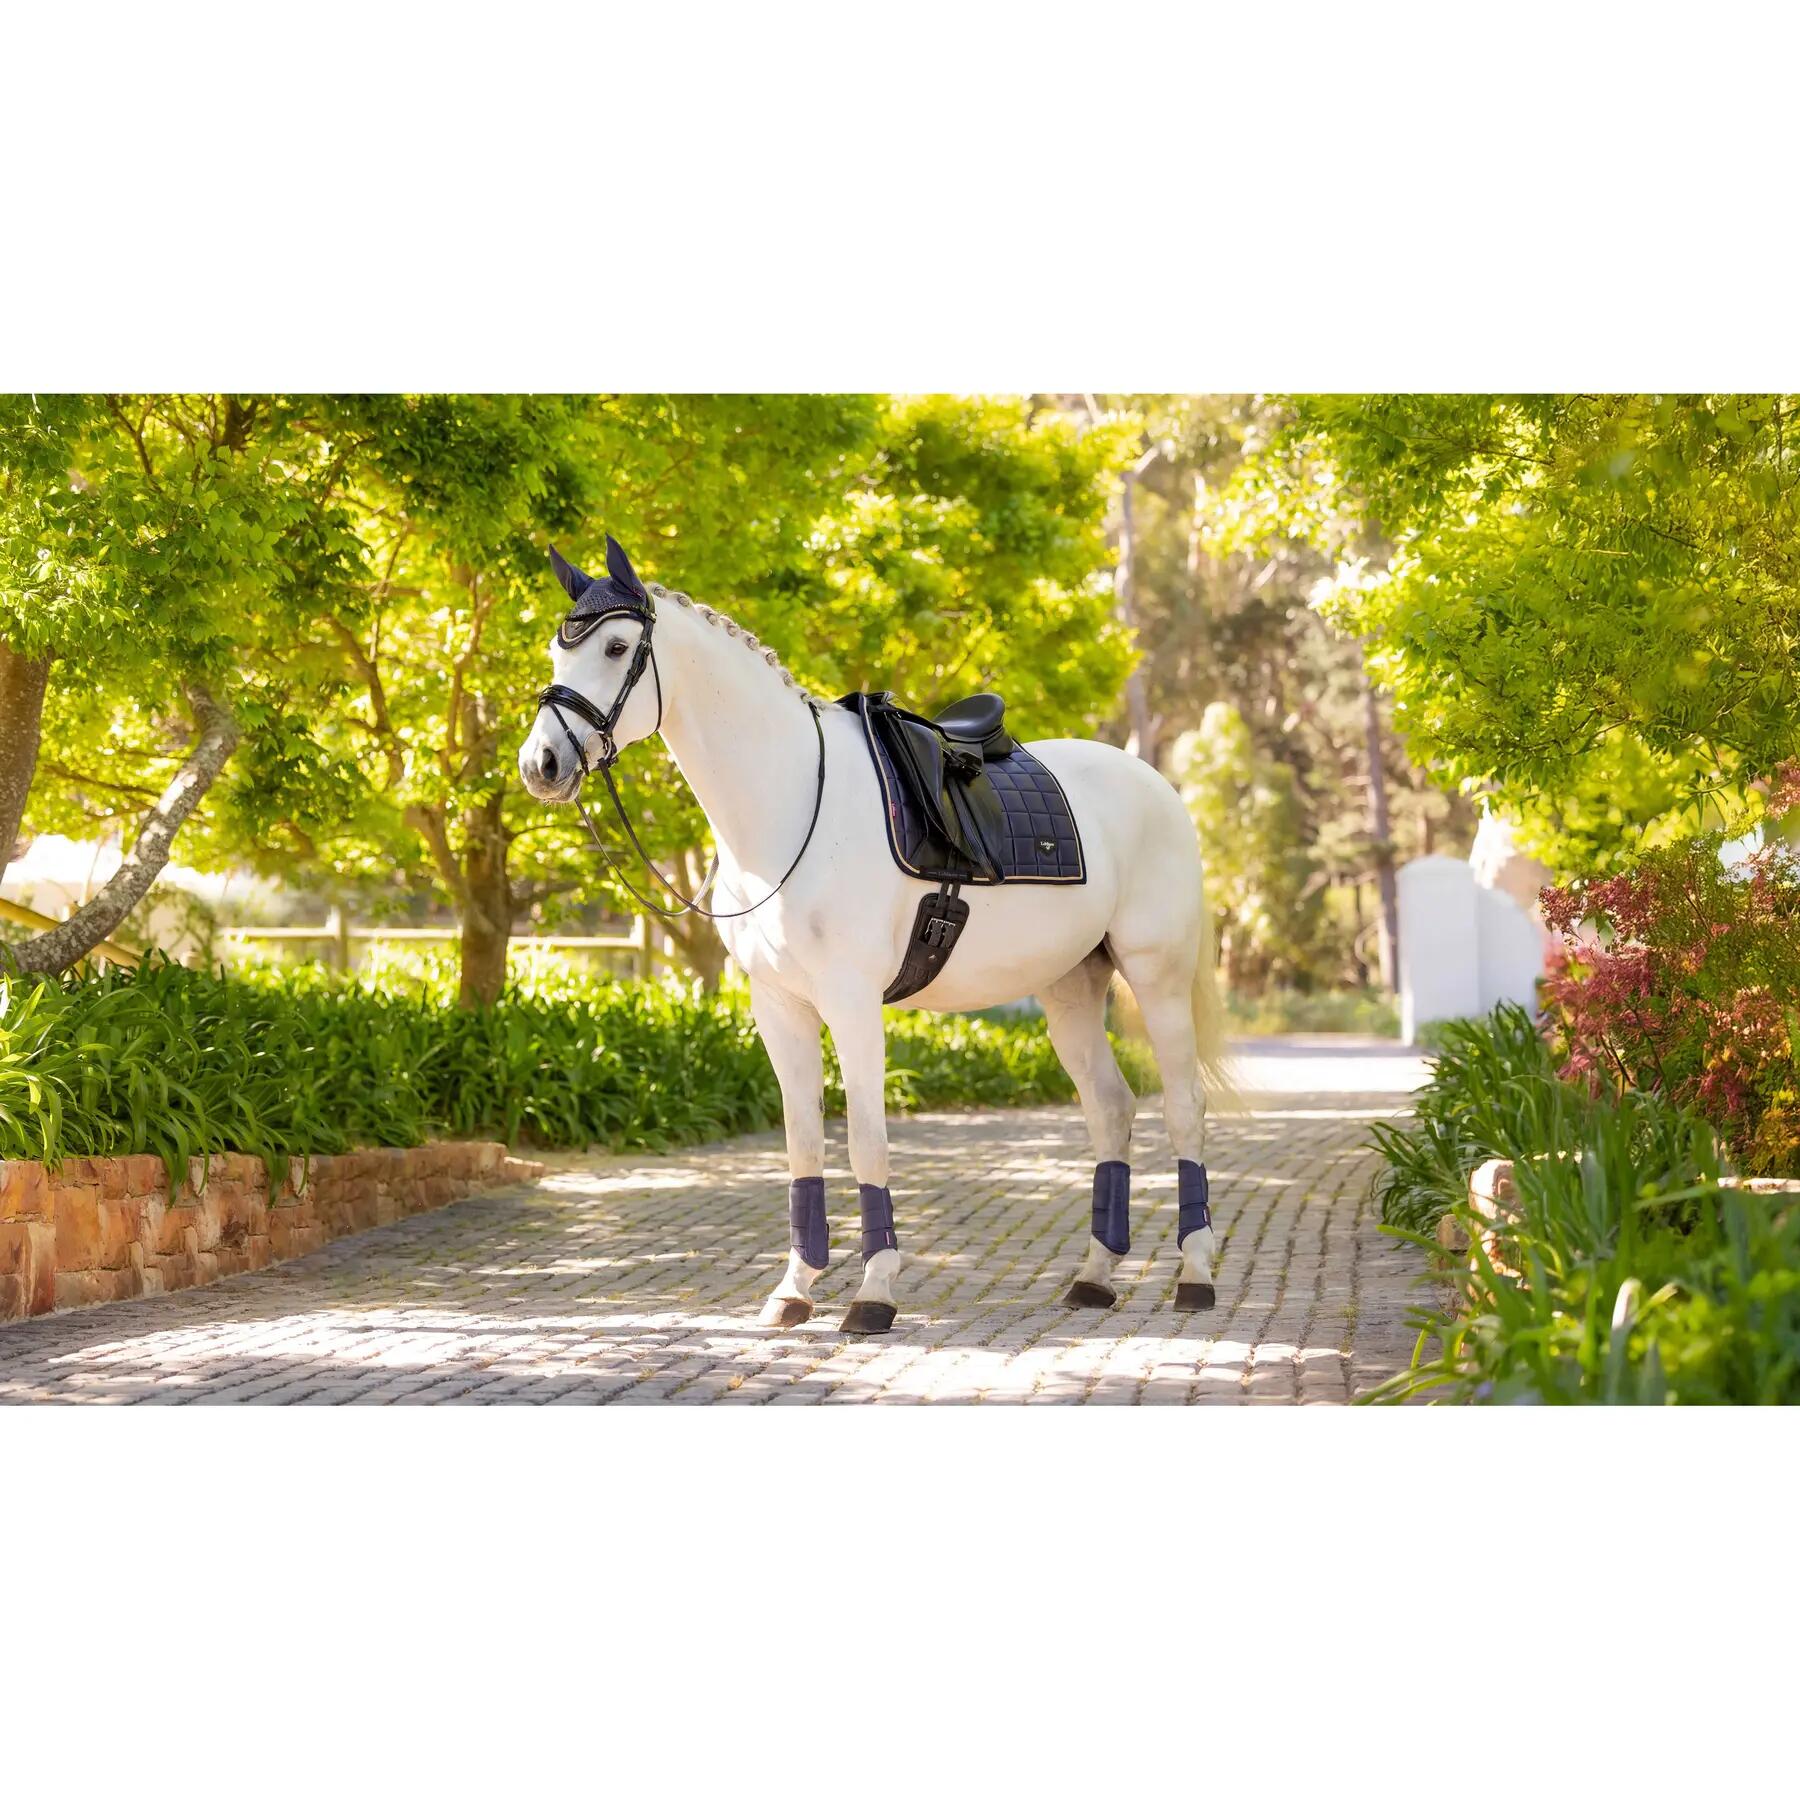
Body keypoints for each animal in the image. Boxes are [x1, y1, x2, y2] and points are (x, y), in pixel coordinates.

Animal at [517, 536, 1230, 1334]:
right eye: (557, 649)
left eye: (616, 647)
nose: (541, 765)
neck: (791, 803)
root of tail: (1158, 787)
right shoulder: (779, 1008)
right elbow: (802, 1142)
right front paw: (794, 1289)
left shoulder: (853, 1004)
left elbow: (865, 1141)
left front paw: (874, 1292)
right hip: (1071, 987)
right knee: (1110, 1109)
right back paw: (1095, 1277)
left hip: (1157, 976)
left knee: (1184, 1107)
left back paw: (1195, 1277)